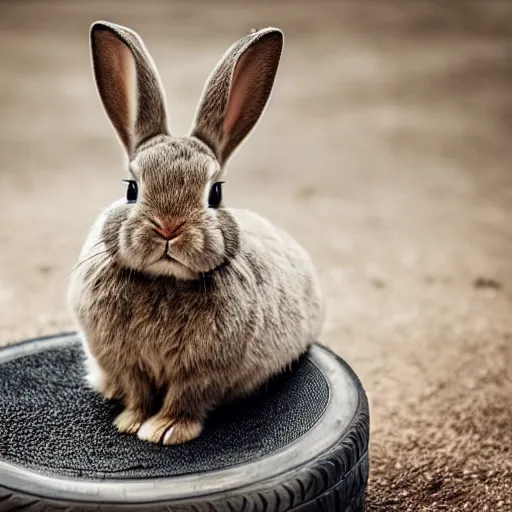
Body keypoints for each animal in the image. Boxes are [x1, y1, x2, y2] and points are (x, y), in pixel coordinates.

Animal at [67, 21, 324, 444]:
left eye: (215, 193)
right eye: (131, 189)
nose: (169, 227)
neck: (165, 280)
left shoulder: (204, 371)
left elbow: (185, 398)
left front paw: (165, 431)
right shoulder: (126, 363)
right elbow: (138, 391)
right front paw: (132, 423)